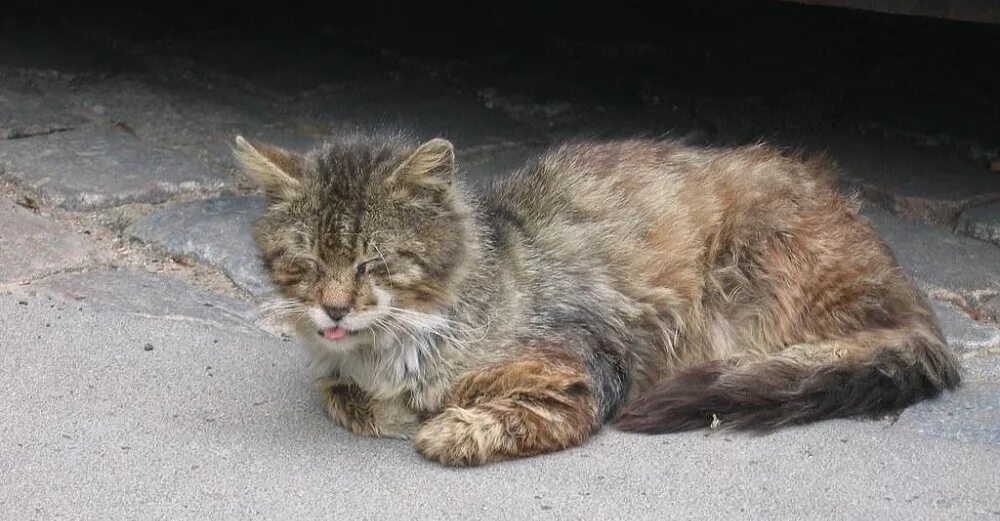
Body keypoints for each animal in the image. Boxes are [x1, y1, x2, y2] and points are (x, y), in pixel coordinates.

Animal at [234, 132, 960, 466]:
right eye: (306, 263)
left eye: (373, 262)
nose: (334, 308)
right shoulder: (339, 372)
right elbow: (340, 393)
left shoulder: (583, 372)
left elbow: (493, 414)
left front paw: (445, 425)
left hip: (751, 280)